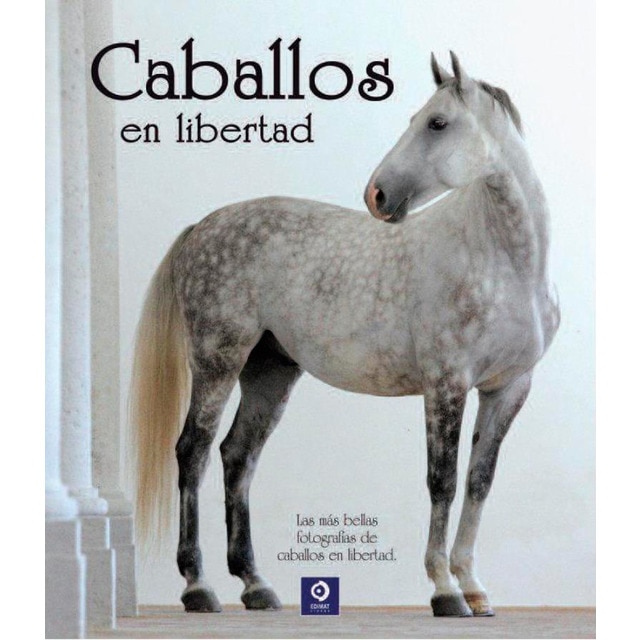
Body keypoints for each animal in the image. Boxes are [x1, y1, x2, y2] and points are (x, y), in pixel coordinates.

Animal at [130, 51, 560, 617]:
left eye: (436, 123)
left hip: (270, 371)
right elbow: (441, 482)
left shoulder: (508, 387)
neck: (505, 266)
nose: (377, 195)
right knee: (192, 451)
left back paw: (255, 585)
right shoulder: (446, 384)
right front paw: (444, 591)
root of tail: (201, 227)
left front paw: (473, 588)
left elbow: (478, 481)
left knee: (237, 457)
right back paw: (198, 587)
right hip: (218, 360)